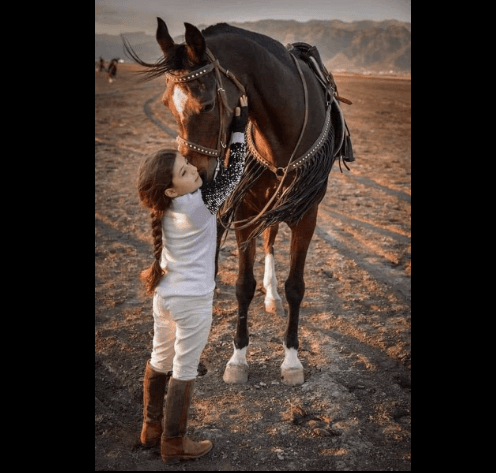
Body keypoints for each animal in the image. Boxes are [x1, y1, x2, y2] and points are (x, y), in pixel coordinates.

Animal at [125, 20, 356, 386]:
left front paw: (292, 359)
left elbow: (296, 287)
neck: (281, 133)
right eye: (166, 104)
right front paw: (238, 358)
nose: (196, 172)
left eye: (207, 105)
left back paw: (272, 297)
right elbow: (243, 286)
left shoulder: (306, 214)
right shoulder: (245, 210)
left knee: (271, 239)